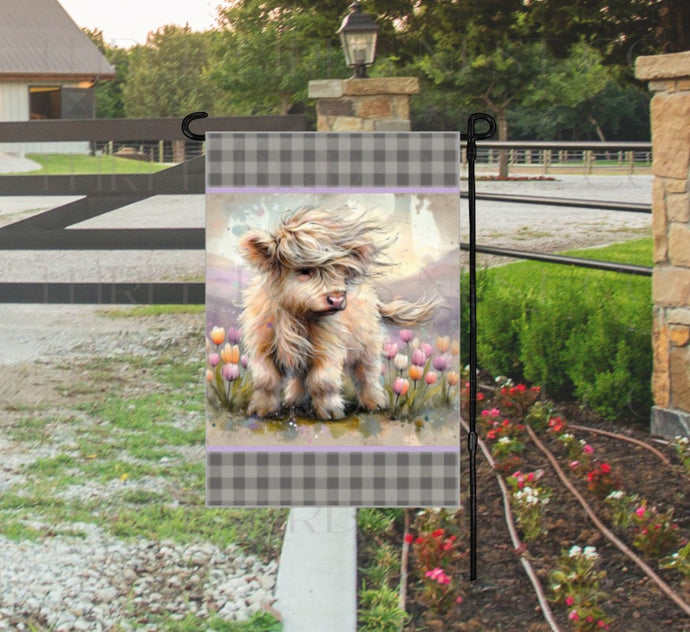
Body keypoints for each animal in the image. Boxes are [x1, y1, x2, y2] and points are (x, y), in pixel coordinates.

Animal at [238, 206, 436, 420]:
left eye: (339, 269)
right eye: (304, 270)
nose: (337, 299)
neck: (295, 315)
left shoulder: (328, 348)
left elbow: (323, 381)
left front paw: (330, 412)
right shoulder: (262, 348)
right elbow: (266, 381)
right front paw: (261, 410)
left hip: (367, 347)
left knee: (367, 375)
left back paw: (374, 403)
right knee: (300, 376)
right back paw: (294, 401)